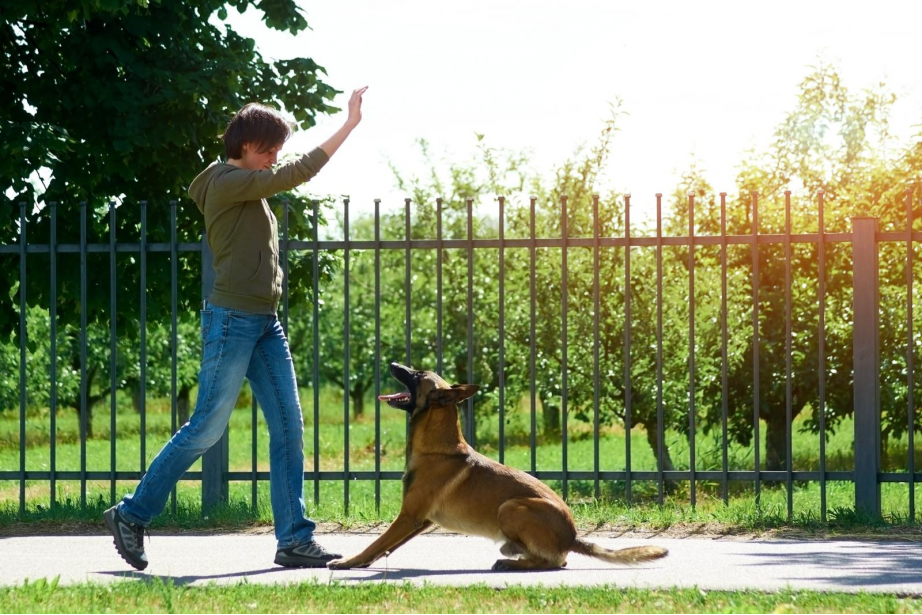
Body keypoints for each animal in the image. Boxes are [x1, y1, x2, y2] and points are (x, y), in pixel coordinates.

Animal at [328, 360, 664, 572]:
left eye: (417, 373)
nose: (394, 363)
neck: (438, 447)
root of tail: (572, 536)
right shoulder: (420, 521)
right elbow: (385, 547)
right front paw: (363, 563)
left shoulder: (409, 516)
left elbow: (377, 542)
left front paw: (348, 563)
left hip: (512, 507)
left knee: (555, 562)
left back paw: (511, 562)